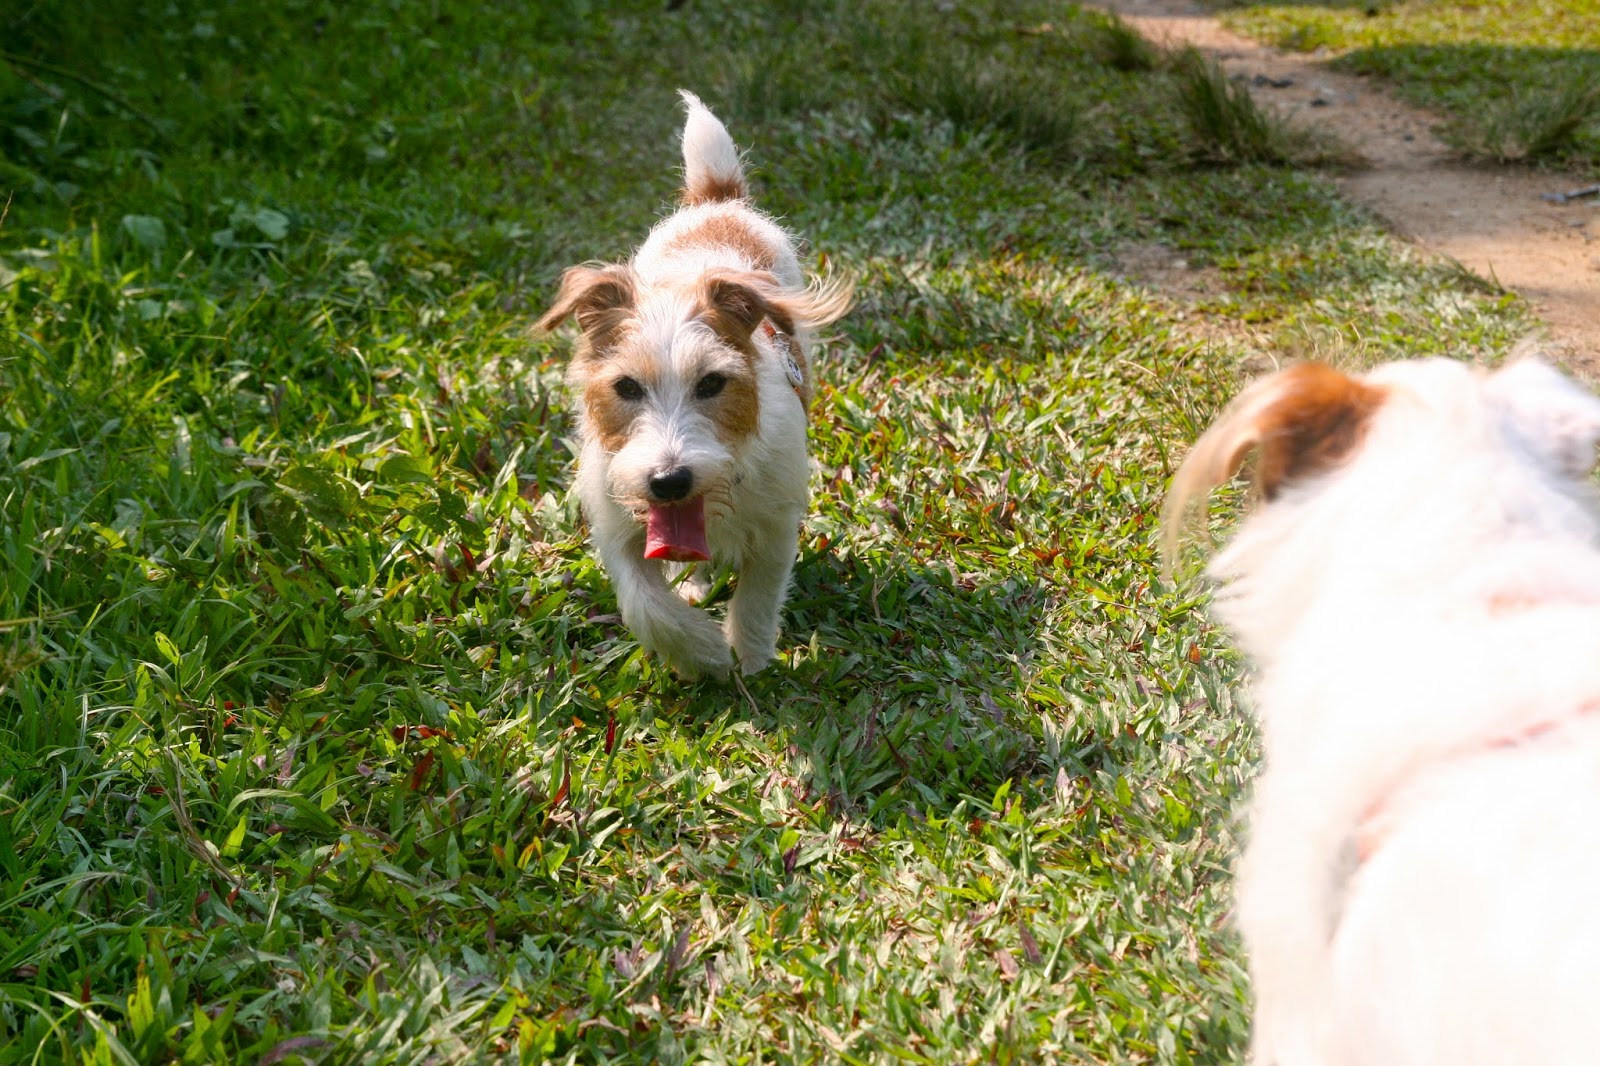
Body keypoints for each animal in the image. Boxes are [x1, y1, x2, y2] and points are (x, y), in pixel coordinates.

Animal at [538, 92, 850, 678]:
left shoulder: (775, 528)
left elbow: (757, 598)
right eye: (626, 388)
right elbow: (644, 603)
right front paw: (700, 650)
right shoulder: (617, 525)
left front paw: (749, 663)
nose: (669, 481)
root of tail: (717, 202)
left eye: (711, 383)